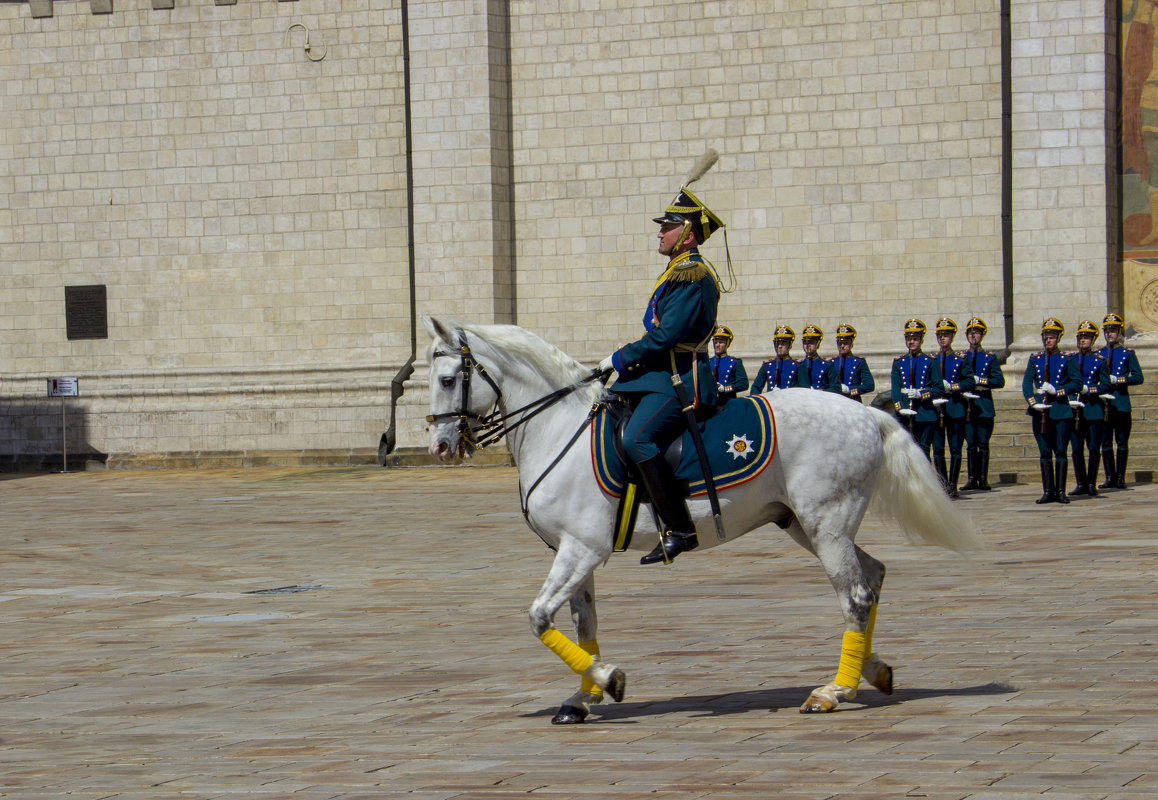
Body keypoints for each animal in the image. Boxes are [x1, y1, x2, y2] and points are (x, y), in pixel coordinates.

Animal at [421, 317, 981, 727]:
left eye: (448, 380)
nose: (440, 448)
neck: (558, 428)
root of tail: (867, 414)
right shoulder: (575, 551)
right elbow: (584, 626)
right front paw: (583, 697)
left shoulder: (582, 548)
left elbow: (539, 618)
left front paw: (609, 679)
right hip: (807, 525)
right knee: (874, 575)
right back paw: (873, 670)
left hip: (827, 525)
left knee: (856, 595)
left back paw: (834, 690)